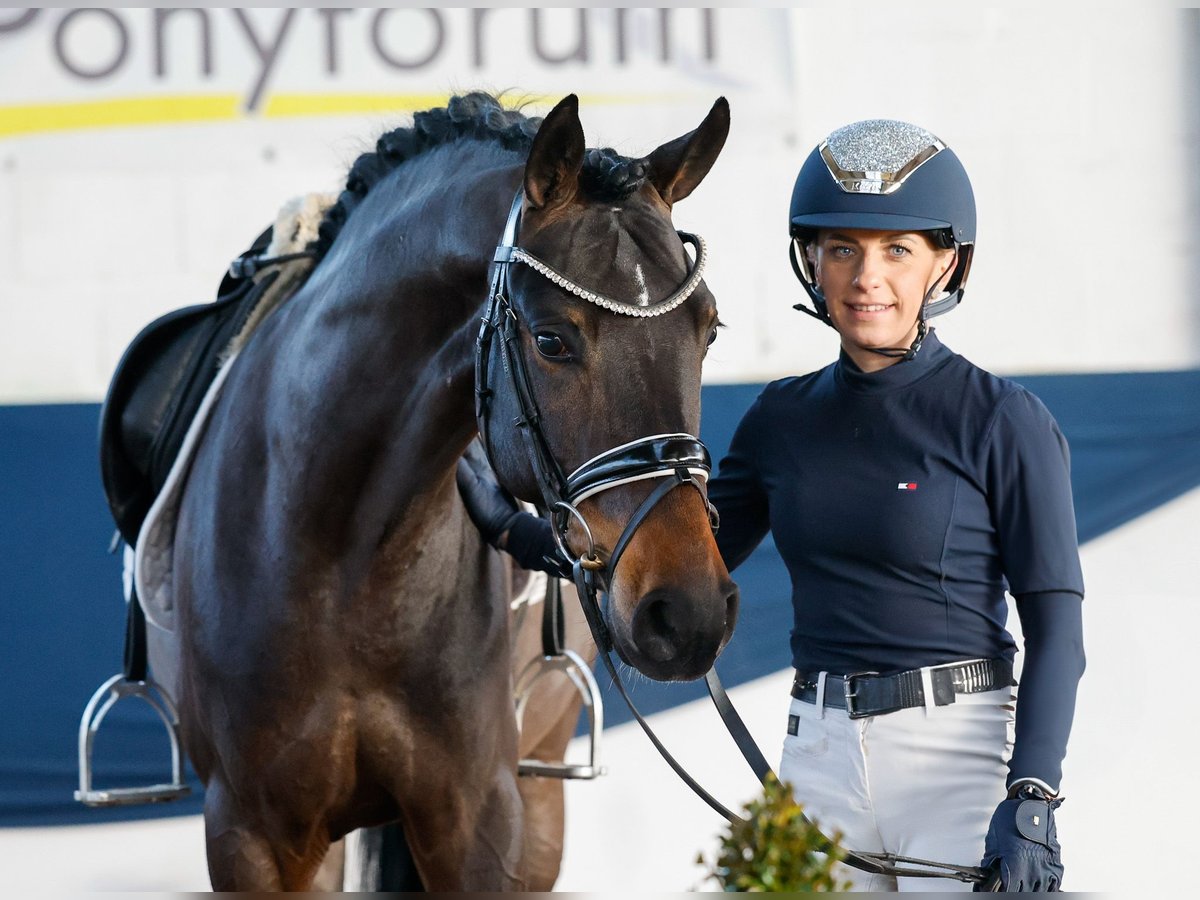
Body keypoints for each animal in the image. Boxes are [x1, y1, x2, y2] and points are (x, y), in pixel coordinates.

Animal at [164, 88, 734, 892]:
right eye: (552, 340)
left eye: (708, 330)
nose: (687, 614)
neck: (343, 554)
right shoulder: (251, 836)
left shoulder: (480, 823)